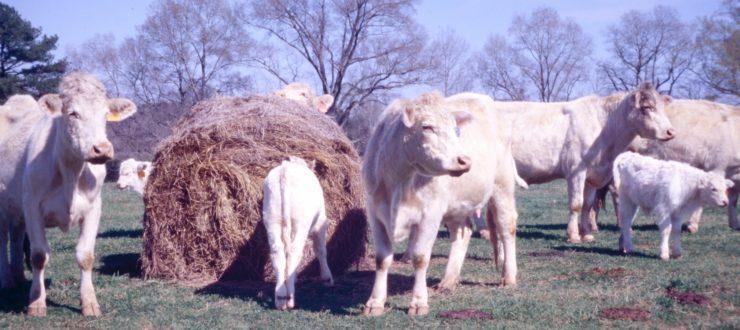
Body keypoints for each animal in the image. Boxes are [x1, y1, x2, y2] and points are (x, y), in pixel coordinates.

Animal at [0, 73, 136, 318]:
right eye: (73, 113)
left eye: (105, 115)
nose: (102, 149)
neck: (71, 172)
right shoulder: (32, 206)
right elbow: (38, 255)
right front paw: (36, 302)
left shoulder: (94, 207)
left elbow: (86, 255)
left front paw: (89, 302)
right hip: (4, 207)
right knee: (4, 238)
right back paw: (6, 280)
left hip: (17, 208)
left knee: (15, 238)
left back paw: (18, 277)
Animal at [258, 156, 330, 310]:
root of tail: (286, 170)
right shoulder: (321, 223)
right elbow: (321, 250)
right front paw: (327, 278)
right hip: (301, 222)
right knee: (294, 251)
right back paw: (290, 297)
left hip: (272, 219)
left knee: (278, 251)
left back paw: (280, 297)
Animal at [362, 91, 516, 316]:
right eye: (426, 127)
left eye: (455, 129)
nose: (464, 161)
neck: (400, 180)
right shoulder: (375, 214)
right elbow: (382, 259)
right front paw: (375, 302)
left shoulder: (430, 215)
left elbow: (420, 258)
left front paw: (419, 302)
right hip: (456, 205)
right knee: (463, 231)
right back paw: (449, 281)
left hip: (502, 188)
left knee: (507, 229)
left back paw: (509, 277)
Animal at [494, 82, 672, 242]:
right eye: (647, 107)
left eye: (662, 107)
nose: (671, 131)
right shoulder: (576, 170)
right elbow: (576, 204)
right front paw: (573, 235)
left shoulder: (592, 176)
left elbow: (587, 204)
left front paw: (586, 234)